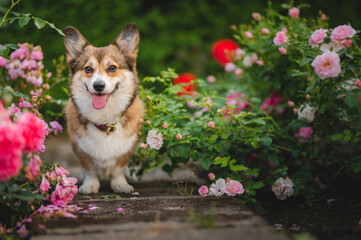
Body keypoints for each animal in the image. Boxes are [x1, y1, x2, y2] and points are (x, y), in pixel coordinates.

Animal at [63, 23, 143, 194]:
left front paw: (120, 185)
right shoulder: (80, 149)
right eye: (88, 69)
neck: (105, 121)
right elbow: (89, 170)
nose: (98, 85)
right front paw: (90, 185)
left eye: (112, 68)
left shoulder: (128, 148)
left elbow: (118, 169)